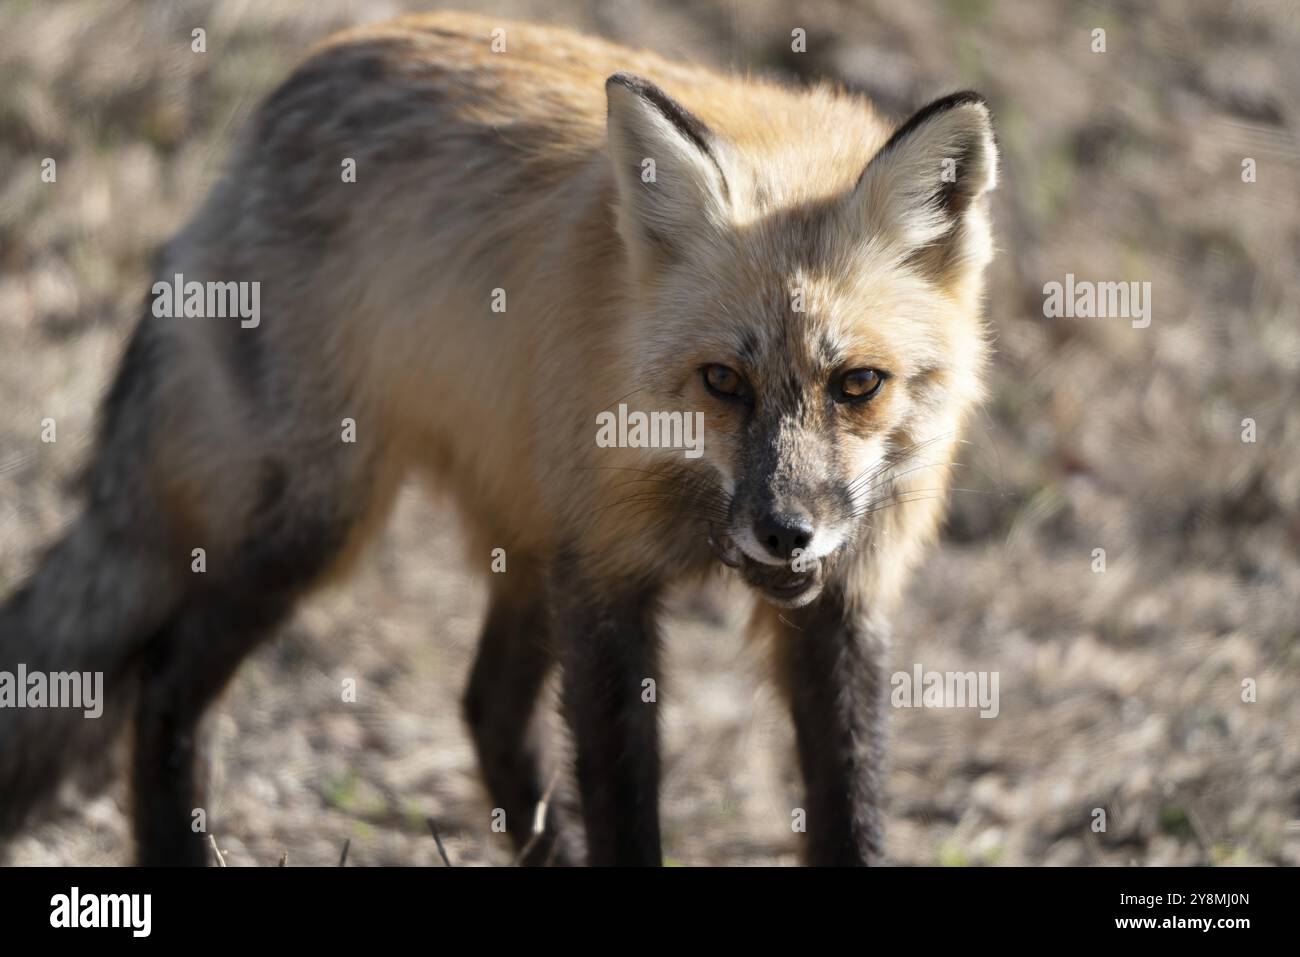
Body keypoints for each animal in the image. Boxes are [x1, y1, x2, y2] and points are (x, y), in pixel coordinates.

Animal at [0, 11, 993, 868]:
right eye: (722, 381)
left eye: (857, 384)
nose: (785, 532)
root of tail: (275, 107)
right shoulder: (602, 573)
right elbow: (625, 809)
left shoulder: (844, 598)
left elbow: (850, 809)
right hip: (318, 522)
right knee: (166, 679)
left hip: (518, 534)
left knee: (486, 709)